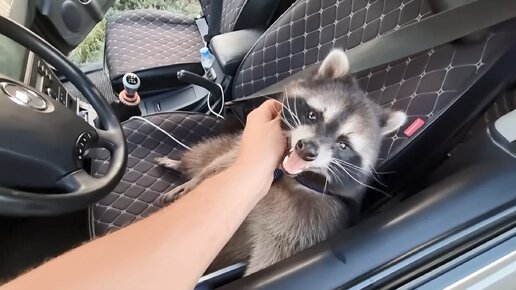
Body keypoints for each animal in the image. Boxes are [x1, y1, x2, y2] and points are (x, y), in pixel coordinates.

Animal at [155, 49, 406, 274]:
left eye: (343, 144)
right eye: (313, 115)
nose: (307, 150)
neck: (288, 176)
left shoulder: (312, 222)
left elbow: (272, 259)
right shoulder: (250, 150)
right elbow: (221, 165)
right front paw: (194, 180)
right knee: (208, 154)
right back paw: (182, 165)